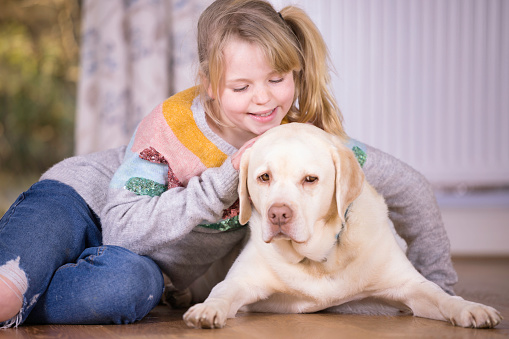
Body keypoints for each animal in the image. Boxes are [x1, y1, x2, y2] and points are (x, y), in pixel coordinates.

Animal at [182, 123, 500, 330]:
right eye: (264, 177)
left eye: (310, 179)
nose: (278, 215)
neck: (318, 258)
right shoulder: (241, 281)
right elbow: (222, 292)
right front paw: (207, 309)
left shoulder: (409, 286)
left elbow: (441, 296)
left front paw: (471, 308)